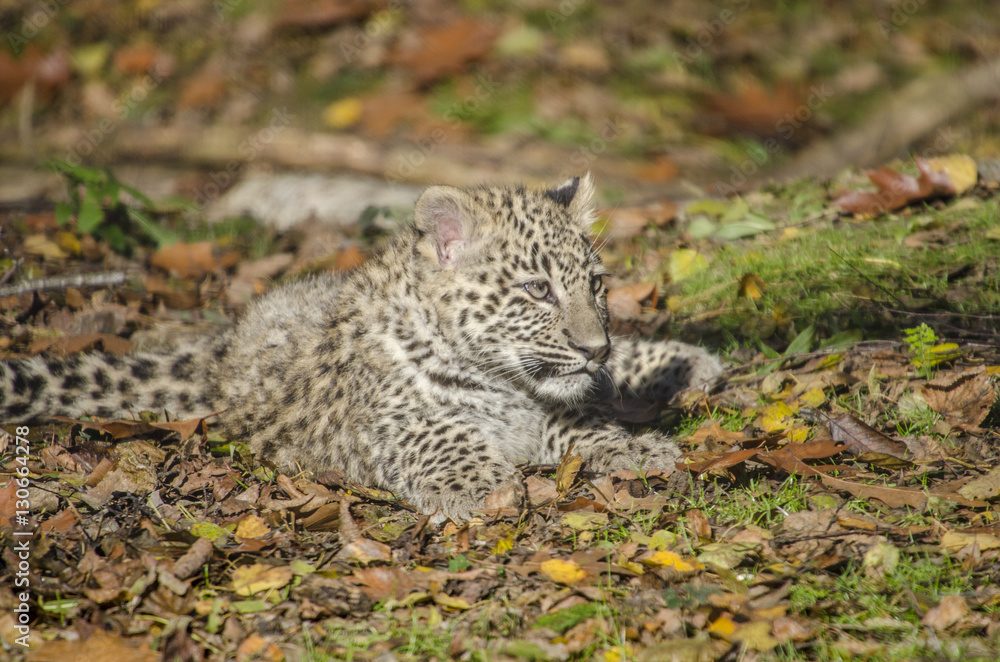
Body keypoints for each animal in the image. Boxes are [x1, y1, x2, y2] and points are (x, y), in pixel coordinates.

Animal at [0, 174, 722, 521]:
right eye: (537, 289)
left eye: (595, 285)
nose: (595, 347)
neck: (506, 385)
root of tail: (223, 348)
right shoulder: (396, 427)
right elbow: (449, 437)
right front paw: (485, 486)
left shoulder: (553, 404)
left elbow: (588, 423)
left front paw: (639, 449)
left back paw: (686, 363)